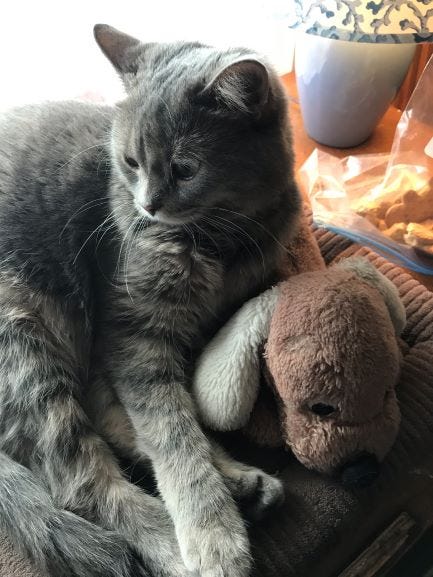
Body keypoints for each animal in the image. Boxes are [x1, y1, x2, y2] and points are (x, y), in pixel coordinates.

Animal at [0, 24, 298, 576]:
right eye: (131, 162)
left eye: (184, 168)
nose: (148, 206)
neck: (220, 240)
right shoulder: (133, 334)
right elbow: (173, 435)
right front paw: (214, 538)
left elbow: (168, 418)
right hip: (28, 344)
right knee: (86, 483)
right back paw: (183, 545)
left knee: (106, 417)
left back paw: (244, 483)